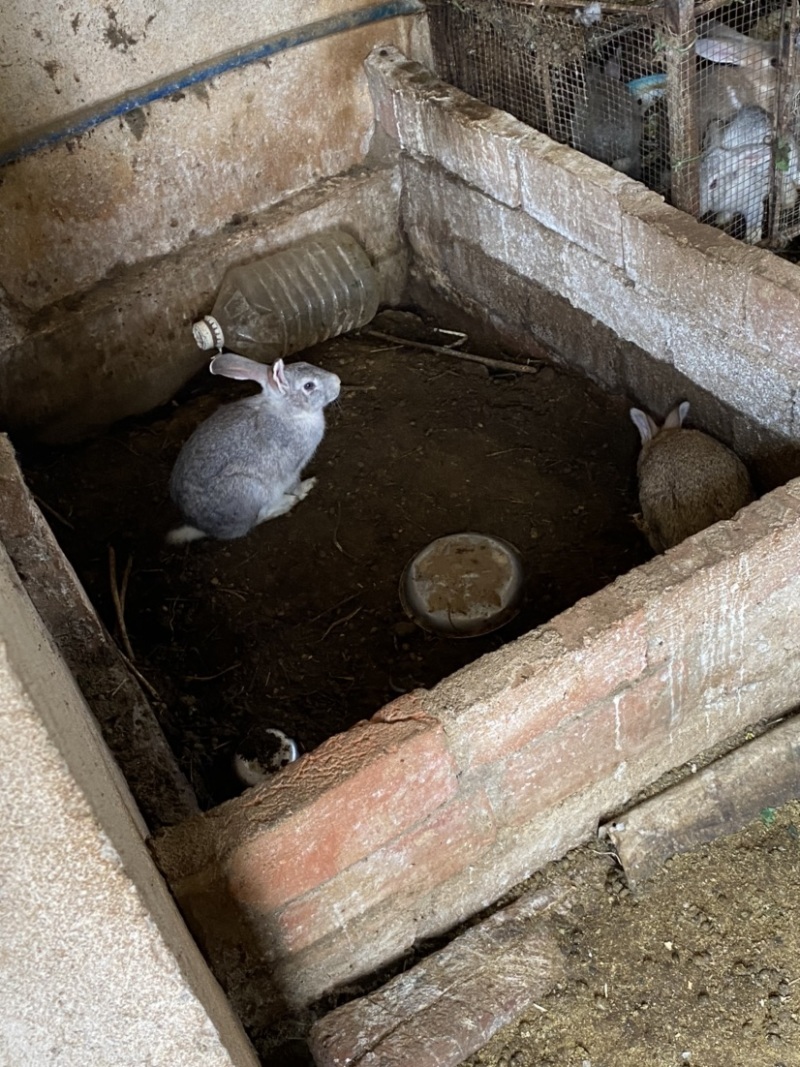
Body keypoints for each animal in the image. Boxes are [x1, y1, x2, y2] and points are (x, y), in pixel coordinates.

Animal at [167, 356, 343, 546]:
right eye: (309, 386)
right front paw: (305, 487)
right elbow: (294, 484)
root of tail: (201, 527)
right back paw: (287, 503)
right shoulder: (291, 468)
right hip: (252, 491)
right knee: (257, 518)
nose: (338, 381)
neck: (289, 413)